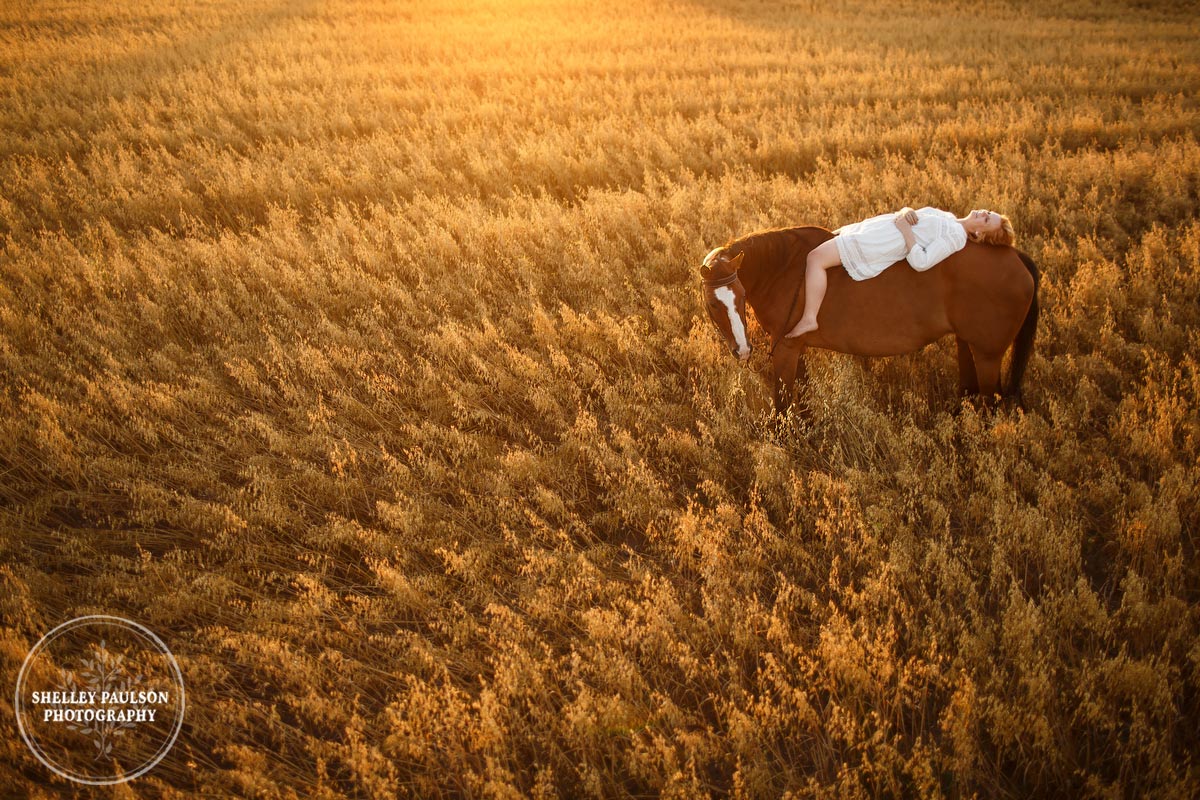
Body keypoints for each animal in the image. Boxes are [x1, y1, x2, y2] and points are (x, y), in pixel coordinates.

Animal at [700, 225, 1036, 412]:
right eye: (714, 305)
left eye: (740, 296)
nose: (742, 350)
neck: (785, 269)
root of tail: (1015, 256)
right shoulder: (797, 348)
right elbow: (804, 398)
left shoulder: (785, 349)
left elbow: (782, 403)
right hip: (966, 343)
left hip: (988, 355)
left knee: (991, 402)